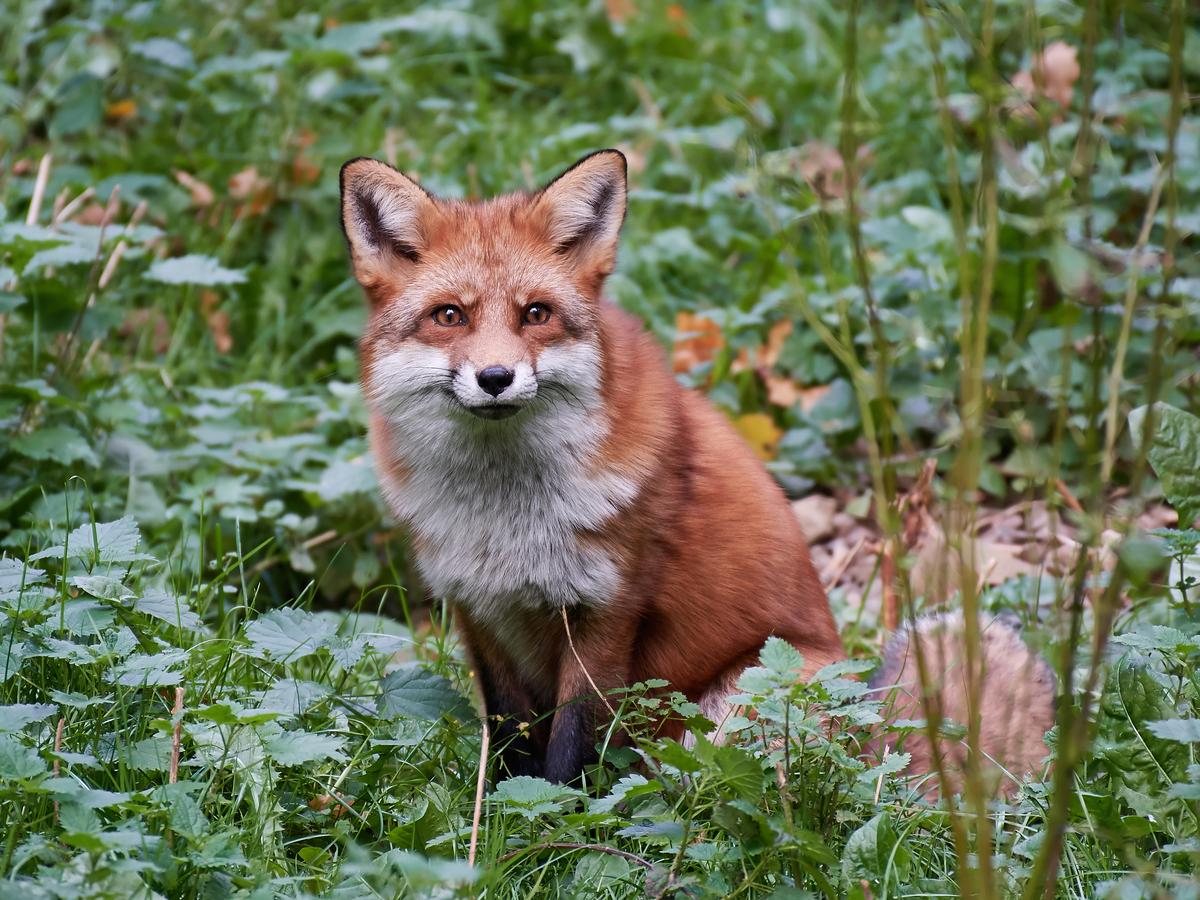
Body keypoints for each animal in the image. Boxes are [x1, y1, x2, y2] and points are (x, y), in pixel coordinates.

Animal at [336, 148, 1051, 796]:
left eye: (535, 313)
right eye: (449, 316)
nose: (494, 377)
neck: (505, 517)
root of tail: (873, 745)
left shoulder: (607, 610)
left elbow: (572, 746)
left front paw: (556, 827)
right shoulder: (479, 612)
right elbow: (510, 742)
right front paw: (502, 816)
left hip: (741, 702)